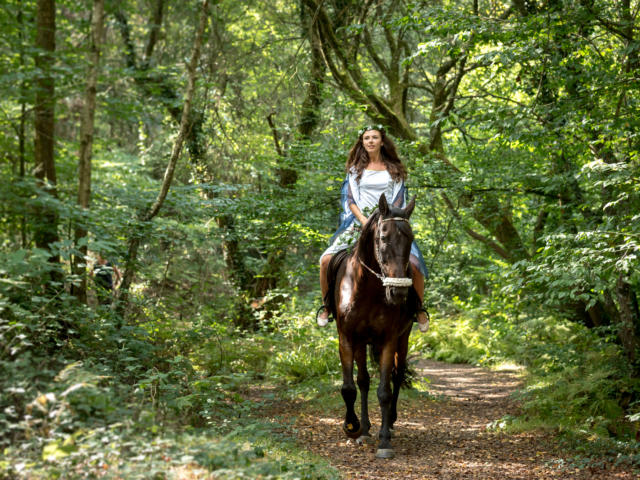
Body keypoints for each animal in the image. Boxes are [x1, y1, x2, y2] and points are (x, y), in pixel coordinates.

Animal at [324, 192, 420, 458]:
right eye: (383, 238)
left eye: (410, 239)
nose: (398, 292)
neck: (365, 288)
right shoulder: (347, 338)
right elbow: (349, 387)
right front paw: (352, 426)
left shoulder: (388, 339)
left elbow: (384, 391)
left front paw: (385, 440)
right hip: (361, 343)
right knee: (363, 380)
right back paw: (365, 429)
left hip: (403, 337)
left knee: (397, 376)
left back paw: (391, 423)